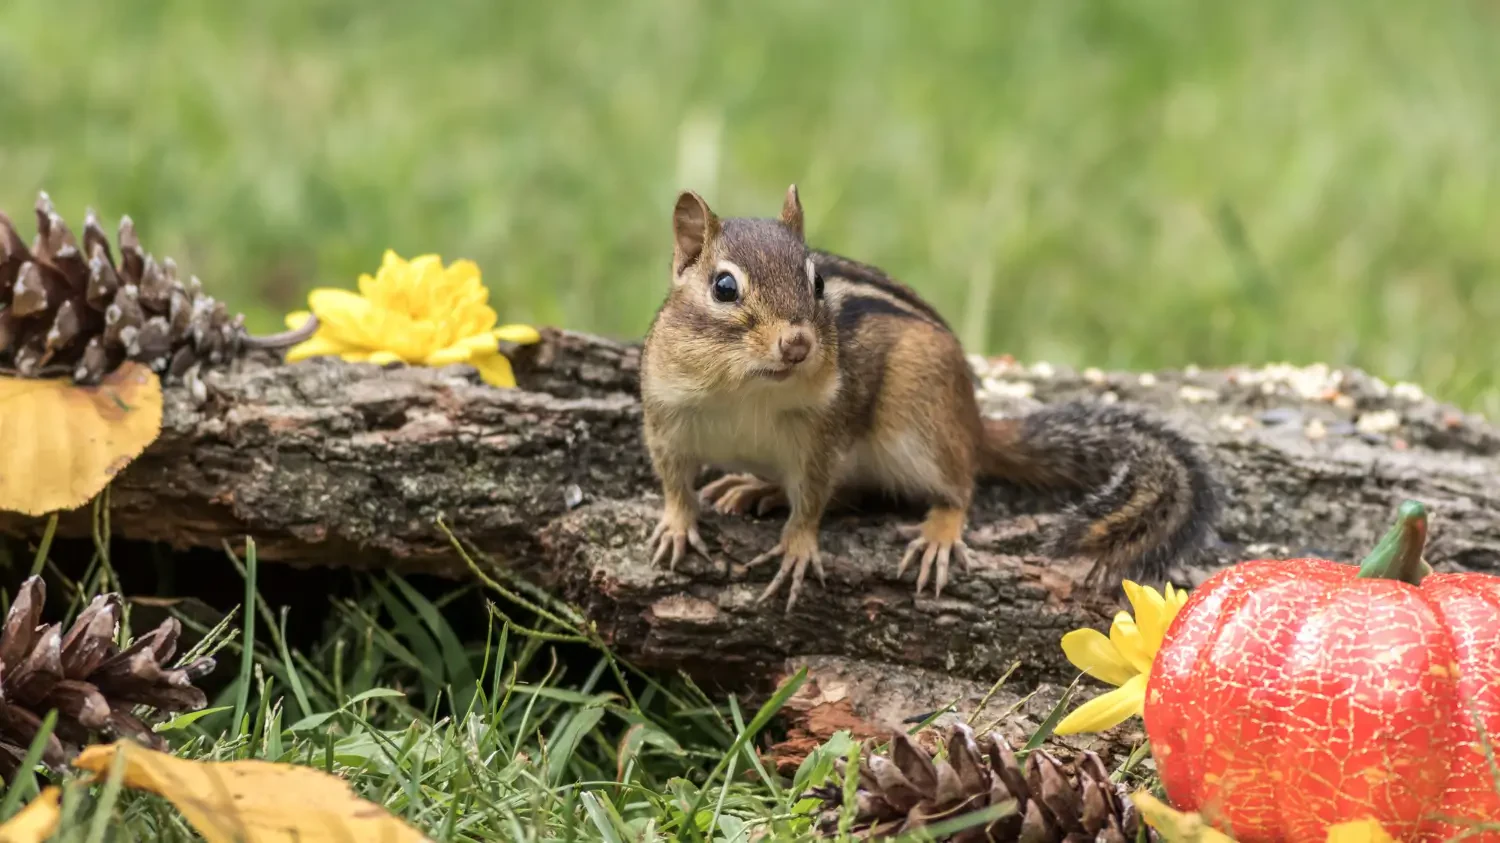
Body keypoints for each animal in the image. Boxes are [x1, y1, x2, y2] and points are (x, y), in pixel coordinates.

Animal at [639, 185, 1220, 612]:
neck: (746, 391)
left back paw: (938, 532)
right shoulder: (666, 418)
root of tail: (975, 423)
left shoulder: (821, 439)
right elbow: (673, 480)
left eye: (818, 282)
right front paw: (676, 524)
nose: (798, 343)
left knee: (957, 487)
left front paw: (798, 548)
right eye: (724, 287)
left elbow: (814, 500)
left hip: (921, 421)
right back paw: (756, 487)